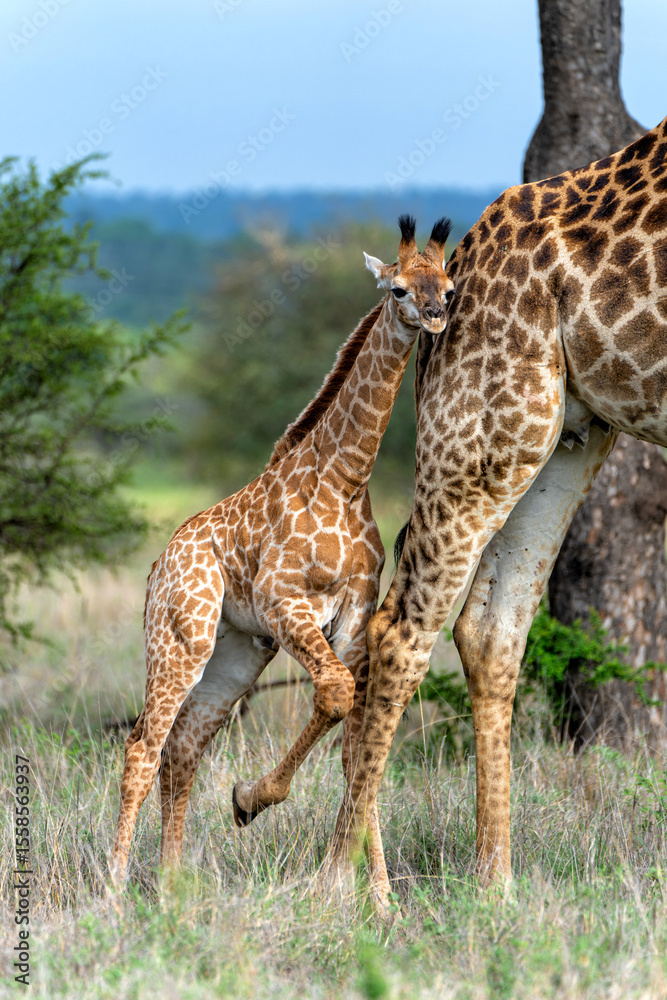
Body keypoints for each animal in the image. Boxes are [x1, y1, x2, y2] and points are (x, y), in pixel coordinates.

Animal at [109, 216, 455, 881]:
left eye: (448, 288)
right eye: (397, 287)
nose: (434, 317)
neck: (345, 478)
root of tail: (159, 564)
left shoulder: (351, 617)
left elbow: (354, 742)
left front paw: (379, 896)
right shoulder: (283, 602)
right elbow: (337, 696)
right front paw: (250, 798)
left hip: (236, 652)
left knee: (183, 747)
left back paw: (170, 884)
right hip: (180, 639)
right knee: (143, 746)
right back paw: (113, 887)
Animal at [330, 116, 667, 910]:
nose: (430, 309)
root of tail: (467, 251)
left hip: (569, 433)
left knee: (490, 624)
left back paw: (495, 887)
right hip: (489, 431)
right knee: (401, 628)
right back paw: (344, 887)